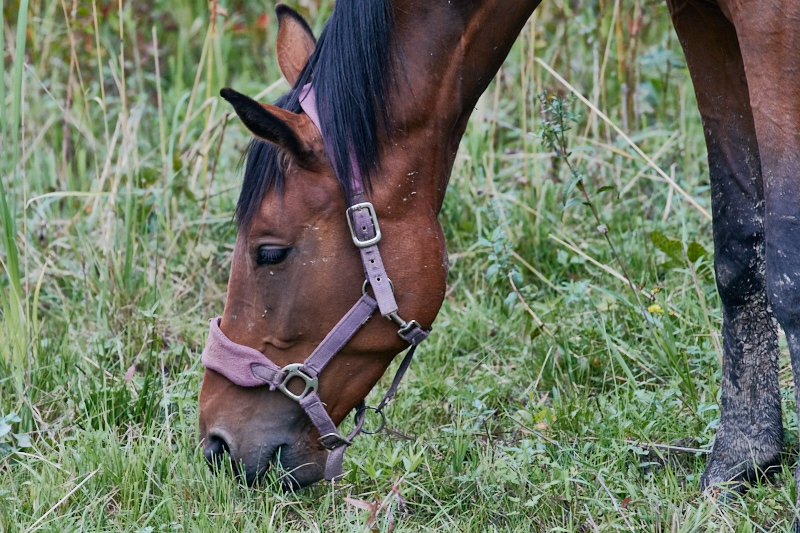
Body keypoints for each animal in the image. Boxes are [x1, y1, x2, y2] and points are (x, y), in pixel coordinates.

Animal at [198, 0, 800, 509]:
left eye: (270, 253)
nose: (215, 447)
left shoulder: (769, 25)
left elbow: (787, 269)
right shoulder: (702, 17)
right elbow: (737, 242)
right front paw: (743, 460)